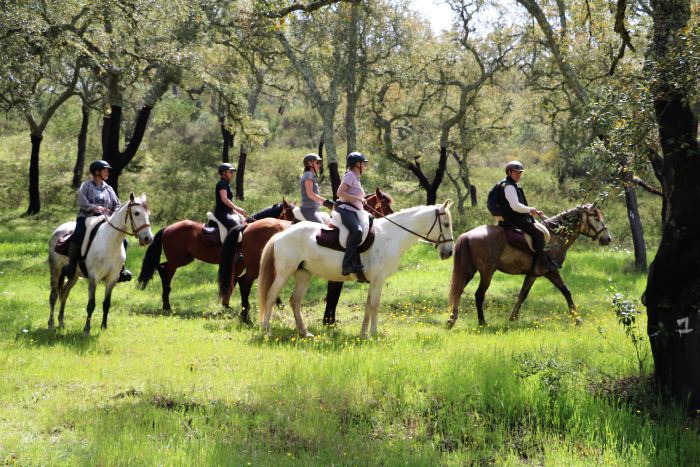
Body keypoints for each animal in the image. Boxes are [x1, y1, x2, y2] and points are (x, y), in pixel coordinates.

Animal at [47, 194, 154, 336]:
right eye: (136, 213)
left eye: (148, 214)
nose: (149, 238)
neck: (110, 243)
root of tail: (59, 230)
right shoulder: (94, 278)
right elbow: (91, 305)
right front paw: (86, 330)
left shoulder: (112, 279)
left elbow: (106, 304)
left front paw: (103, 327)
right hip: (56, 269)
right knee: (53, 296)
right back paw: (51, 324)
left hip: (74, 276)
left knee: (64, 293)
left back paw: (61, 323)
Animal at [138, 200, 294, 312]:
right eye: (290, 215)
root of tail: (167, 228)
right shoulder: (239, 264)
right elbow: (232, 282)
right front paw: (227, 305)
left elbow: (233, 281)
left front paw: (227, 304)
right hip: (176, 261)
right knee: (166, 274)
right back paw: (166, 305)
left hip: (185, 259)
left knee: (161, 267)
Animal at [219, 188, 394, 328]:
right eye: (385, 206)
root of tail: (248, 226)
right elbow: (333, 295)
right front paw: (329, 321)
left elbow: (334, 295)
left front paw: (329, 320)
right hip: (255, 268)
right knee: (244, 283)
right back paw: (245, 317)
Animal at [258, 199, 454, 338]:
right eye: (445, 224)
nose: (449, 252)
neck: (391, 236)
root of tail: (281, 234)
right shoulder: (378, 280)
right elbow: (375, 305)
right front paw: (374, 334)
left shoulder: (373, 281)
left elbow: (368, 306)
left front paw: (363, 334)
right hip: (284, 273)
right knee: (271, 296)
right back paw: (267, 330)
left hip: (304, 274)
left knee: (295, 301)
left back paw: (304, 332)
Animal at [446, 203, 608, 328]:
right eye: (596, 218)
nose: (607, 239)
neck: (555, 236)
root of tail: (467, 235)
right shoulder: (551, 272)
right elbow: (566, 291)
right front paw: (577, 319)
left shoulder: (532, 274)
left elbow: (522, 295)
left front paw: (512, 318)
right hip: (487, 272)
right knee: (479, 294)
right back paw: (482, 322)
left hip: (470, 270)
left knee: (458, 290)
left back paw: (451, 319)